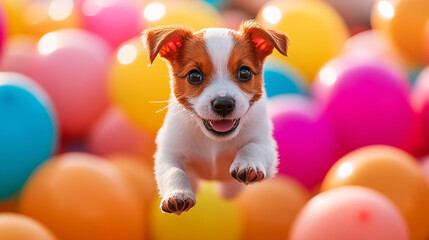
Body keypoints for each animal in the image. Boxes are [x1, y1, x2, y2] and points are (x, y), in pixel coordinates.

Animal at [143, 19, 288, 214]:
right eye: (194, 76)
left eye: (245, 72)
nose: (224, 103)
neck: (214, 142)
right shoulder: (169, 152)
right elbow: (174, 171)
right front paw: (177, 194)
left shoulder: (265, 143)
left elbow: (253, 147)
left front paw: (247, 164)